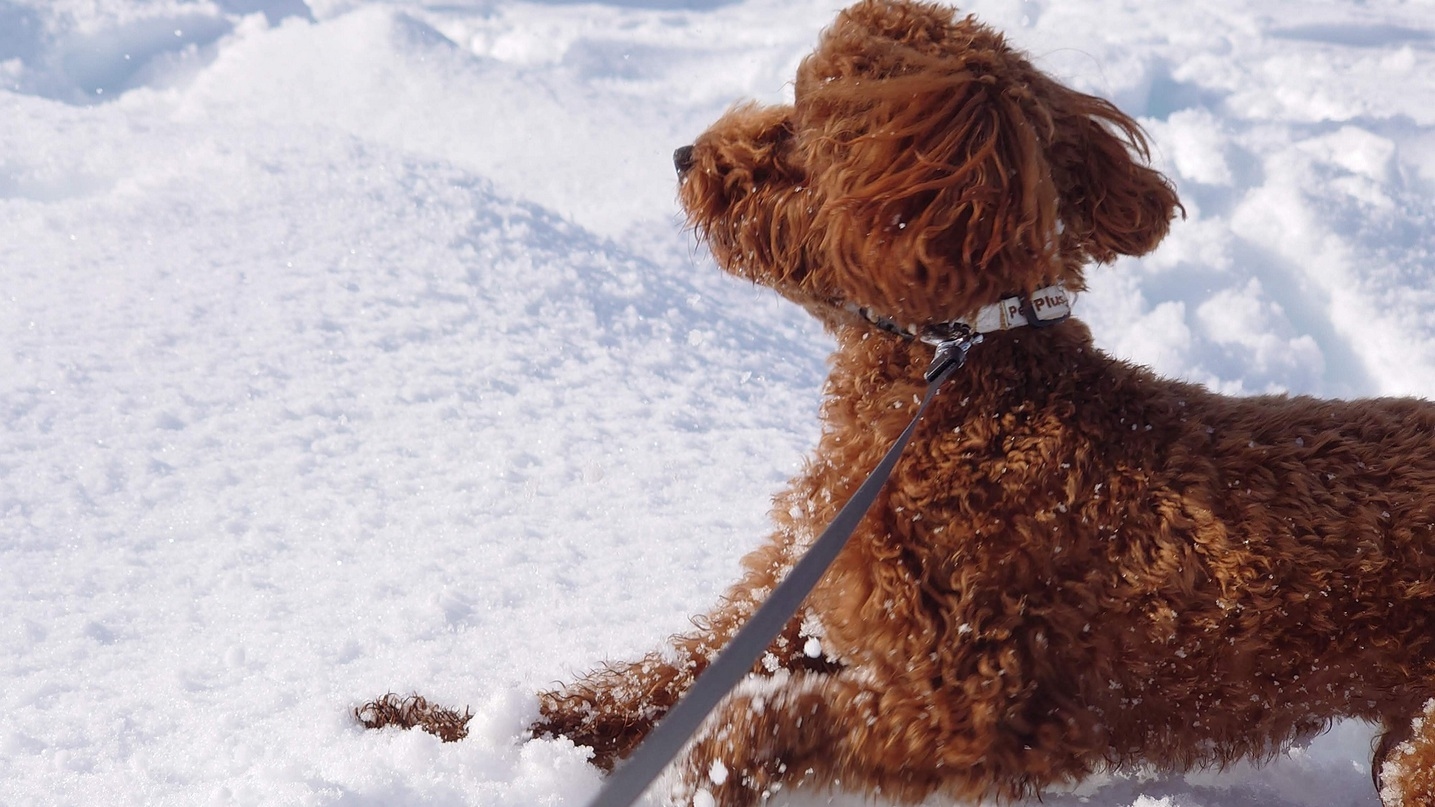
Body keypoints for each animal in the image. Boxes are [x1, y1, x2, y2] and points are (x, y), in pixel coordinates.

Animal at [528, 1, 1435, 804]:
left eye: (802, 127)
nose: (684, 154)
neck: (958, 394)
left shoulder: (983, 699)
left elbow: (756, 725)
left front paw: (705, 775)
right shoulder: (800, 608)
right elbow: (673, 680)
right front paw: (525, 727)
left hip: (1418, 749)